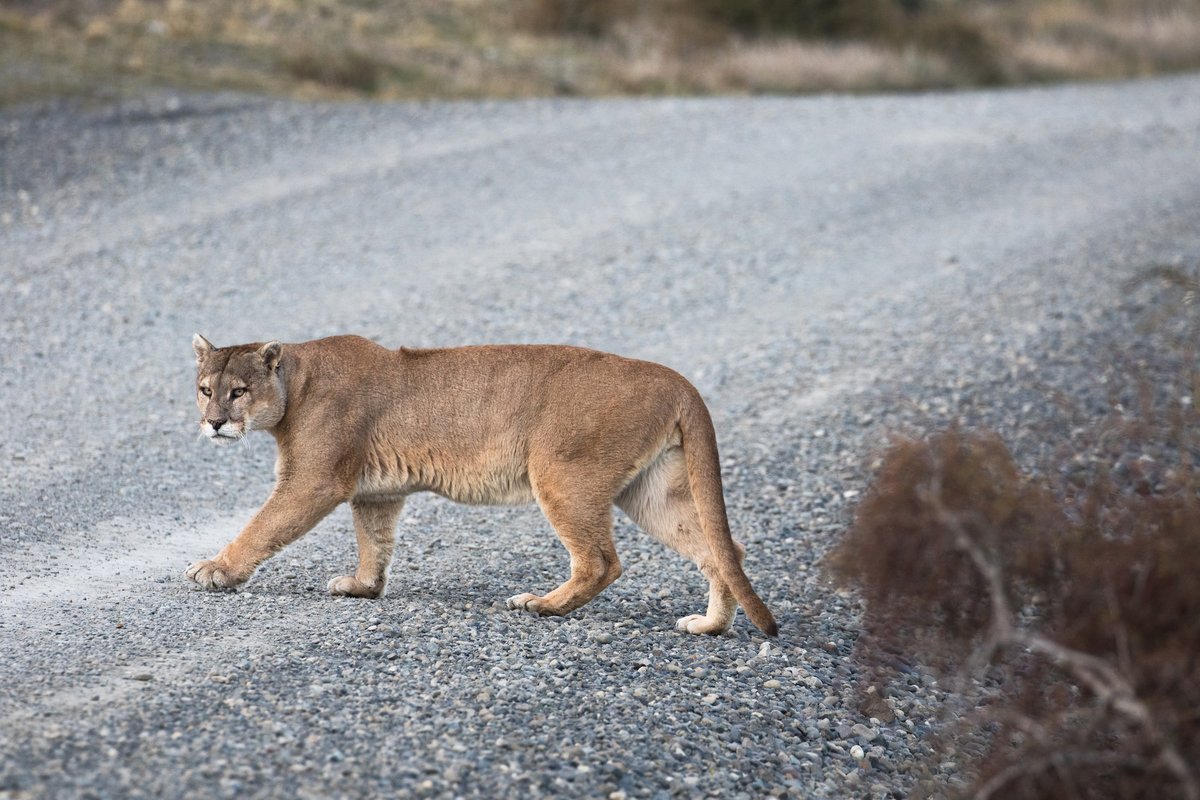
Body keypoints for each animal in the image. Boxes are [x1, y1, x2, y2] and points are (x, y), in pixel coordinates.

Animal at [186, 334, 777, 636]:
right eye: (205, 389)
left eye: (238, 391)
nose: (213, 422)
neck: (296, 381)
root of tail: (674, 378)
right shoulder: (377, 491)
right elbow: (374, 542)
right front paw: (363, 587)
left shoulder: (314, 479)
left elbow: (264, 526)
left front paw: (216, 569)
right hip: (651, 492)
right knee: (726, 549)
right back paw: (709, 625)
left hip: (560, 473)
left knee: (601, 561)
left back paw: (541, 605)